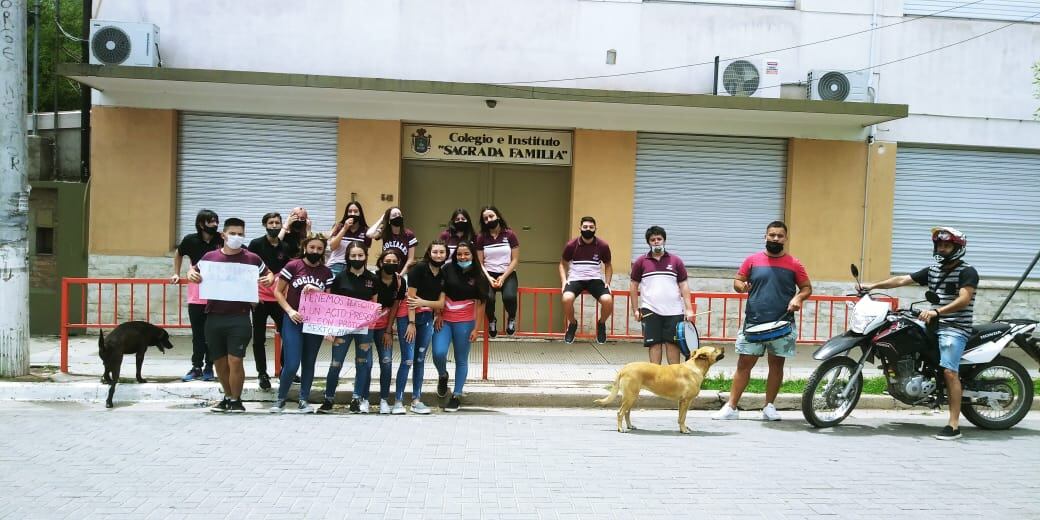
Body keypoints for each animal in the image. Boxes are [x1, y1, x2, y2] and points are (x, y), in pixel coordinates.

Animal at [599, 345, 728, 434]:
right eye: (715, 350)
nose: (723, 347)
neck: (695, 366)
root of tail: (623, 369)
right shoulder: (686, 401)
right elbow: (683, 418)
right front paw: (684, 430)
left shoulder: (681, 402)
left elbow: (680, 417)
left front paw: (682, 428)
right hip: (630, 397)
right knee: (620, 413)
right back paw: (621, 429)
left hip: (631, 397)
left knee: (626, 412)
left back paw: (630, 426)